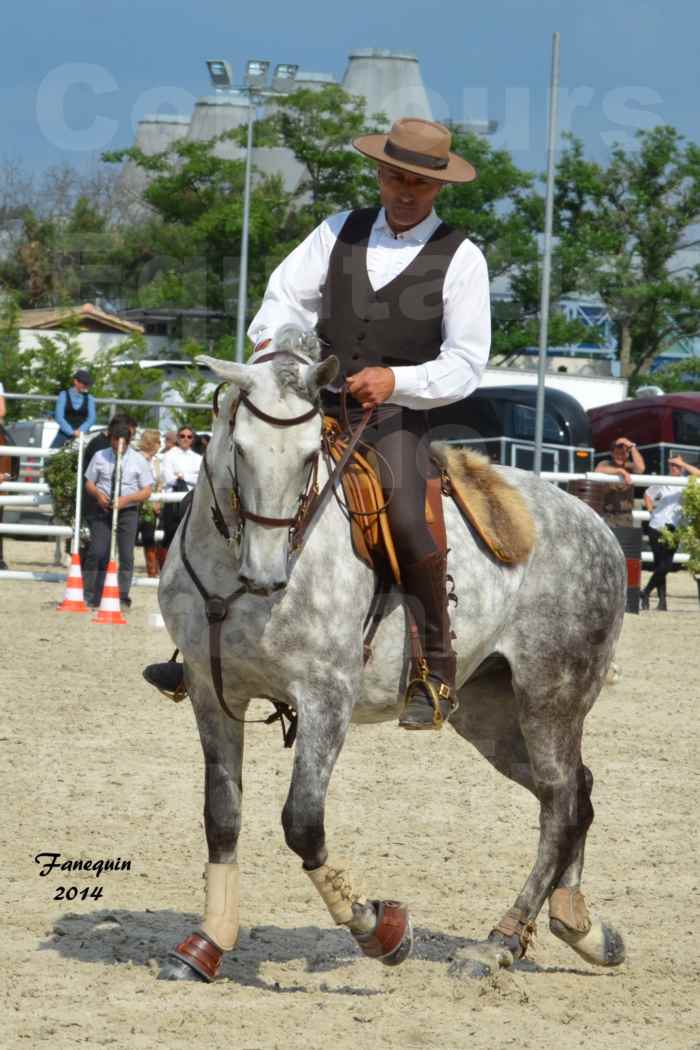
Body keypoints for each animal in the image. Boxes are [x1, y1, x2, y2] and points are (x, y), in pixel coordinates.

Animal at [156, 329, 625, 982]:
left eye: (309, 457)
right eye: (240, 449)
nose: (267, 574)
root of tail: (598, 527)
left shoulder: (326, 699)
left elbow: (303, 823)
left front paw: (379, 929)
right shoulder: (213, 693)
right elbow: (222, 817)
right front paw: (206, 944)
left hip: (550, 700)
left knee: (560, 803)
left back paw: (498, 942)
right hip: (490, 715)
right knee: (577, 793)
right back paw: (580, 926)